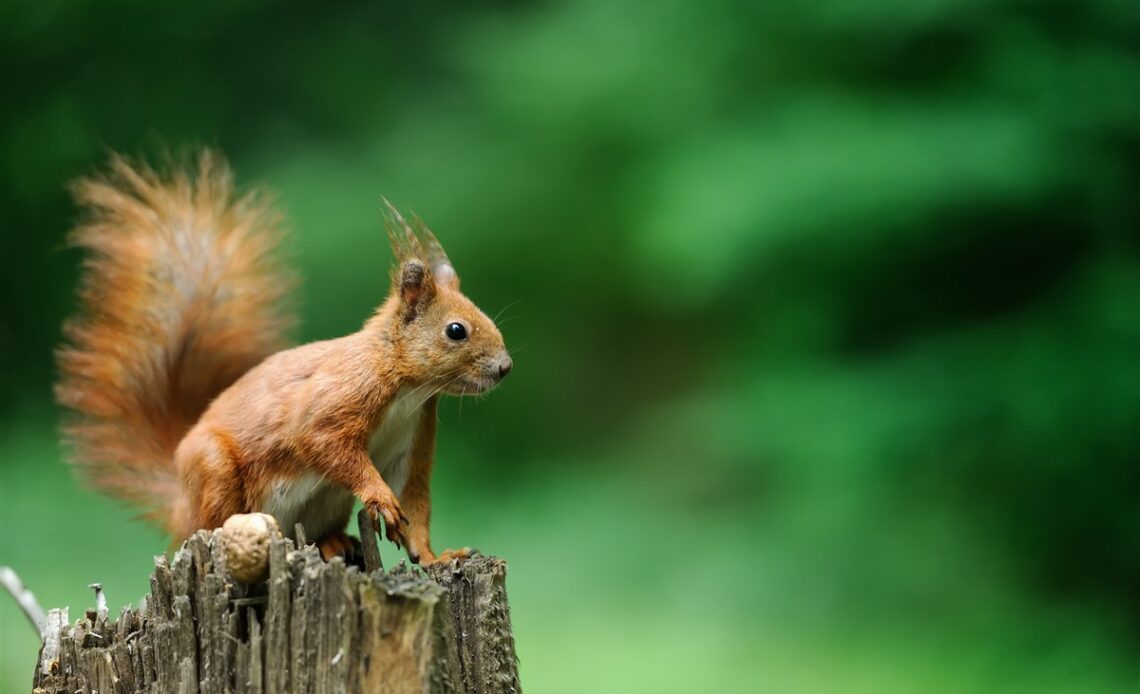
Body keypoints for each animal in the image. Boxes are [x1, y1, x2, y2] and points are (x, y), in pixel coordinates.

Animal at [55, 151, 510, 562]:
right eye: (456, 331)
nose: (505, 368)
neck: (406, 388)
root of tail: (180, 506)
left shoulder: (412, 439)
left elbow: (414, 500)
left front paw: (436, 558)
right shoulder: (338, 398)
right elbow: (323, 441)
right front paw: (379, 498)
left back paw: (331, 543)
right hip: (214, 473)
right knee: (211, 523)